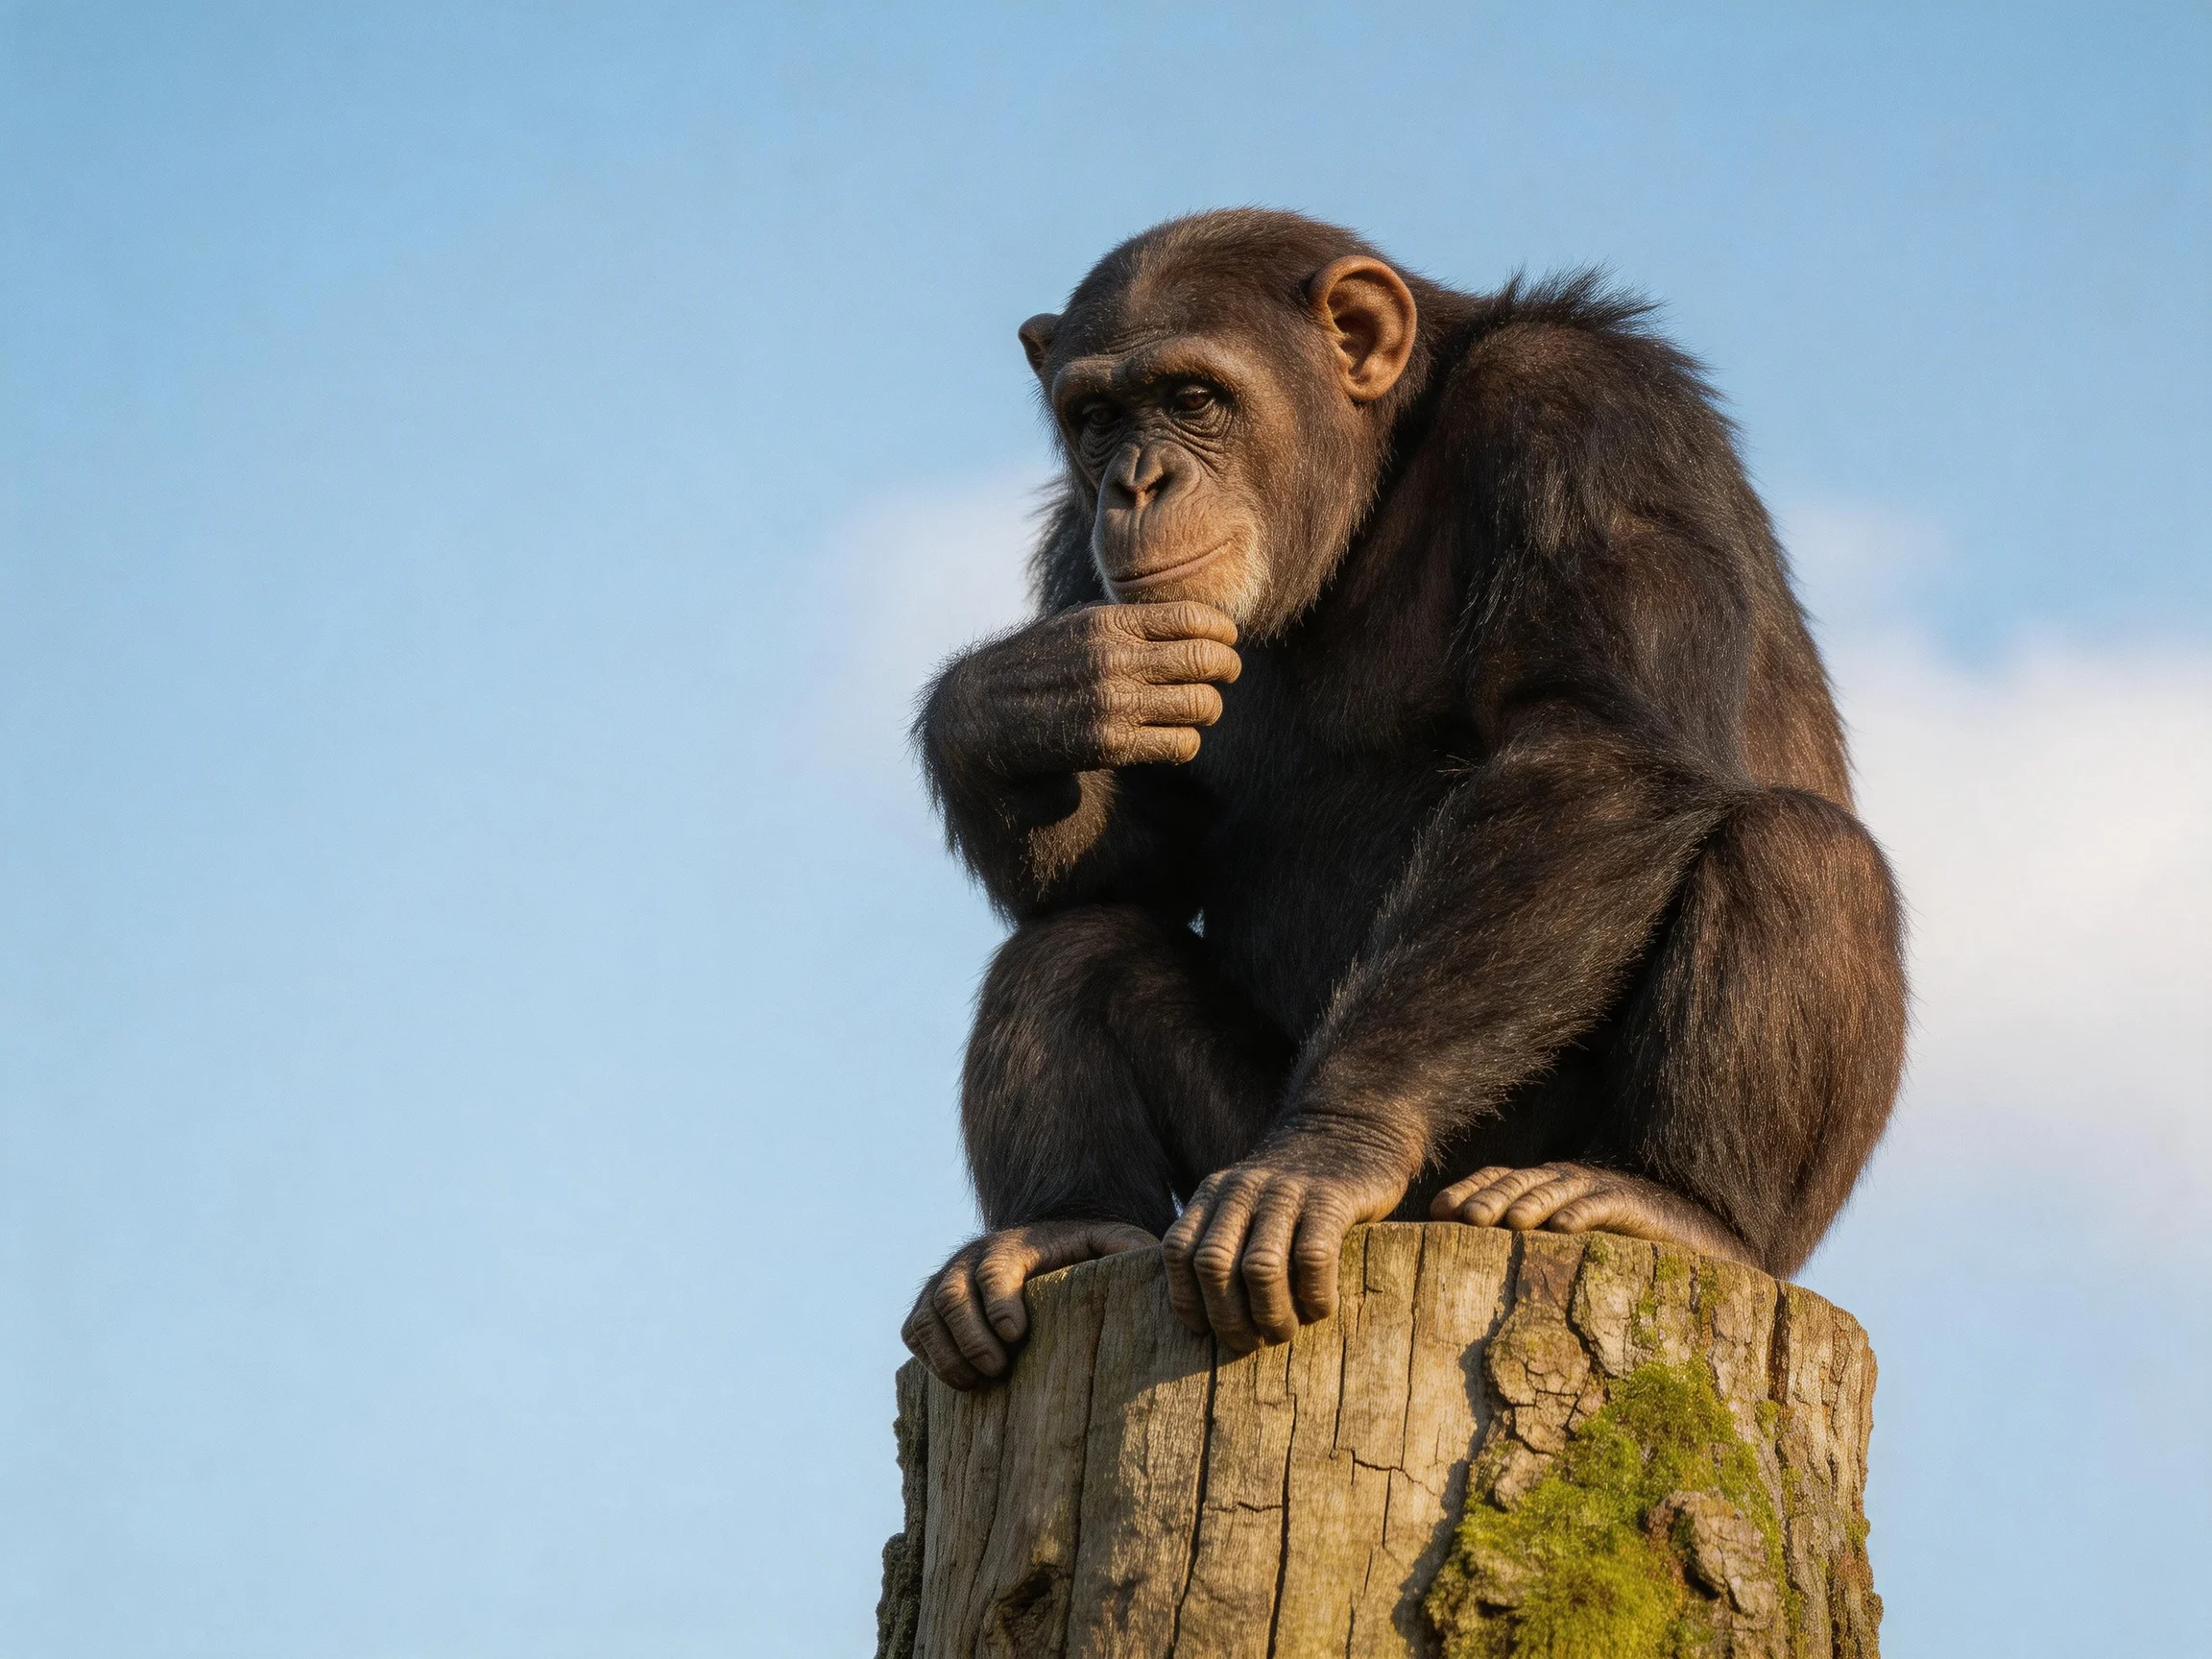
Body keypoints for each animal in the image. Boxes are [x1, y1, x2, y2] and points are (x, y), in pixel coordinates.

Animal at [901, 210, 1906, 1391]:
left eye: (1193, 398)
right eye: (1096, 418)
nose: (1135, 483)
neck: (1373, 479)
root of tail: (1424, 1213)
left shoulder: (1585, 417)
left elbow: (1590, 742)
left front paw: (1333, 1143)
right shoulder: (1075, 551)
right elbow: (1138, 862)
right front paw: (1012, 703)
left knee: (1800, 849)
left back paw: (1670, 1203)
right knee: (1072, 946)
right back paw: (1061, 1230)